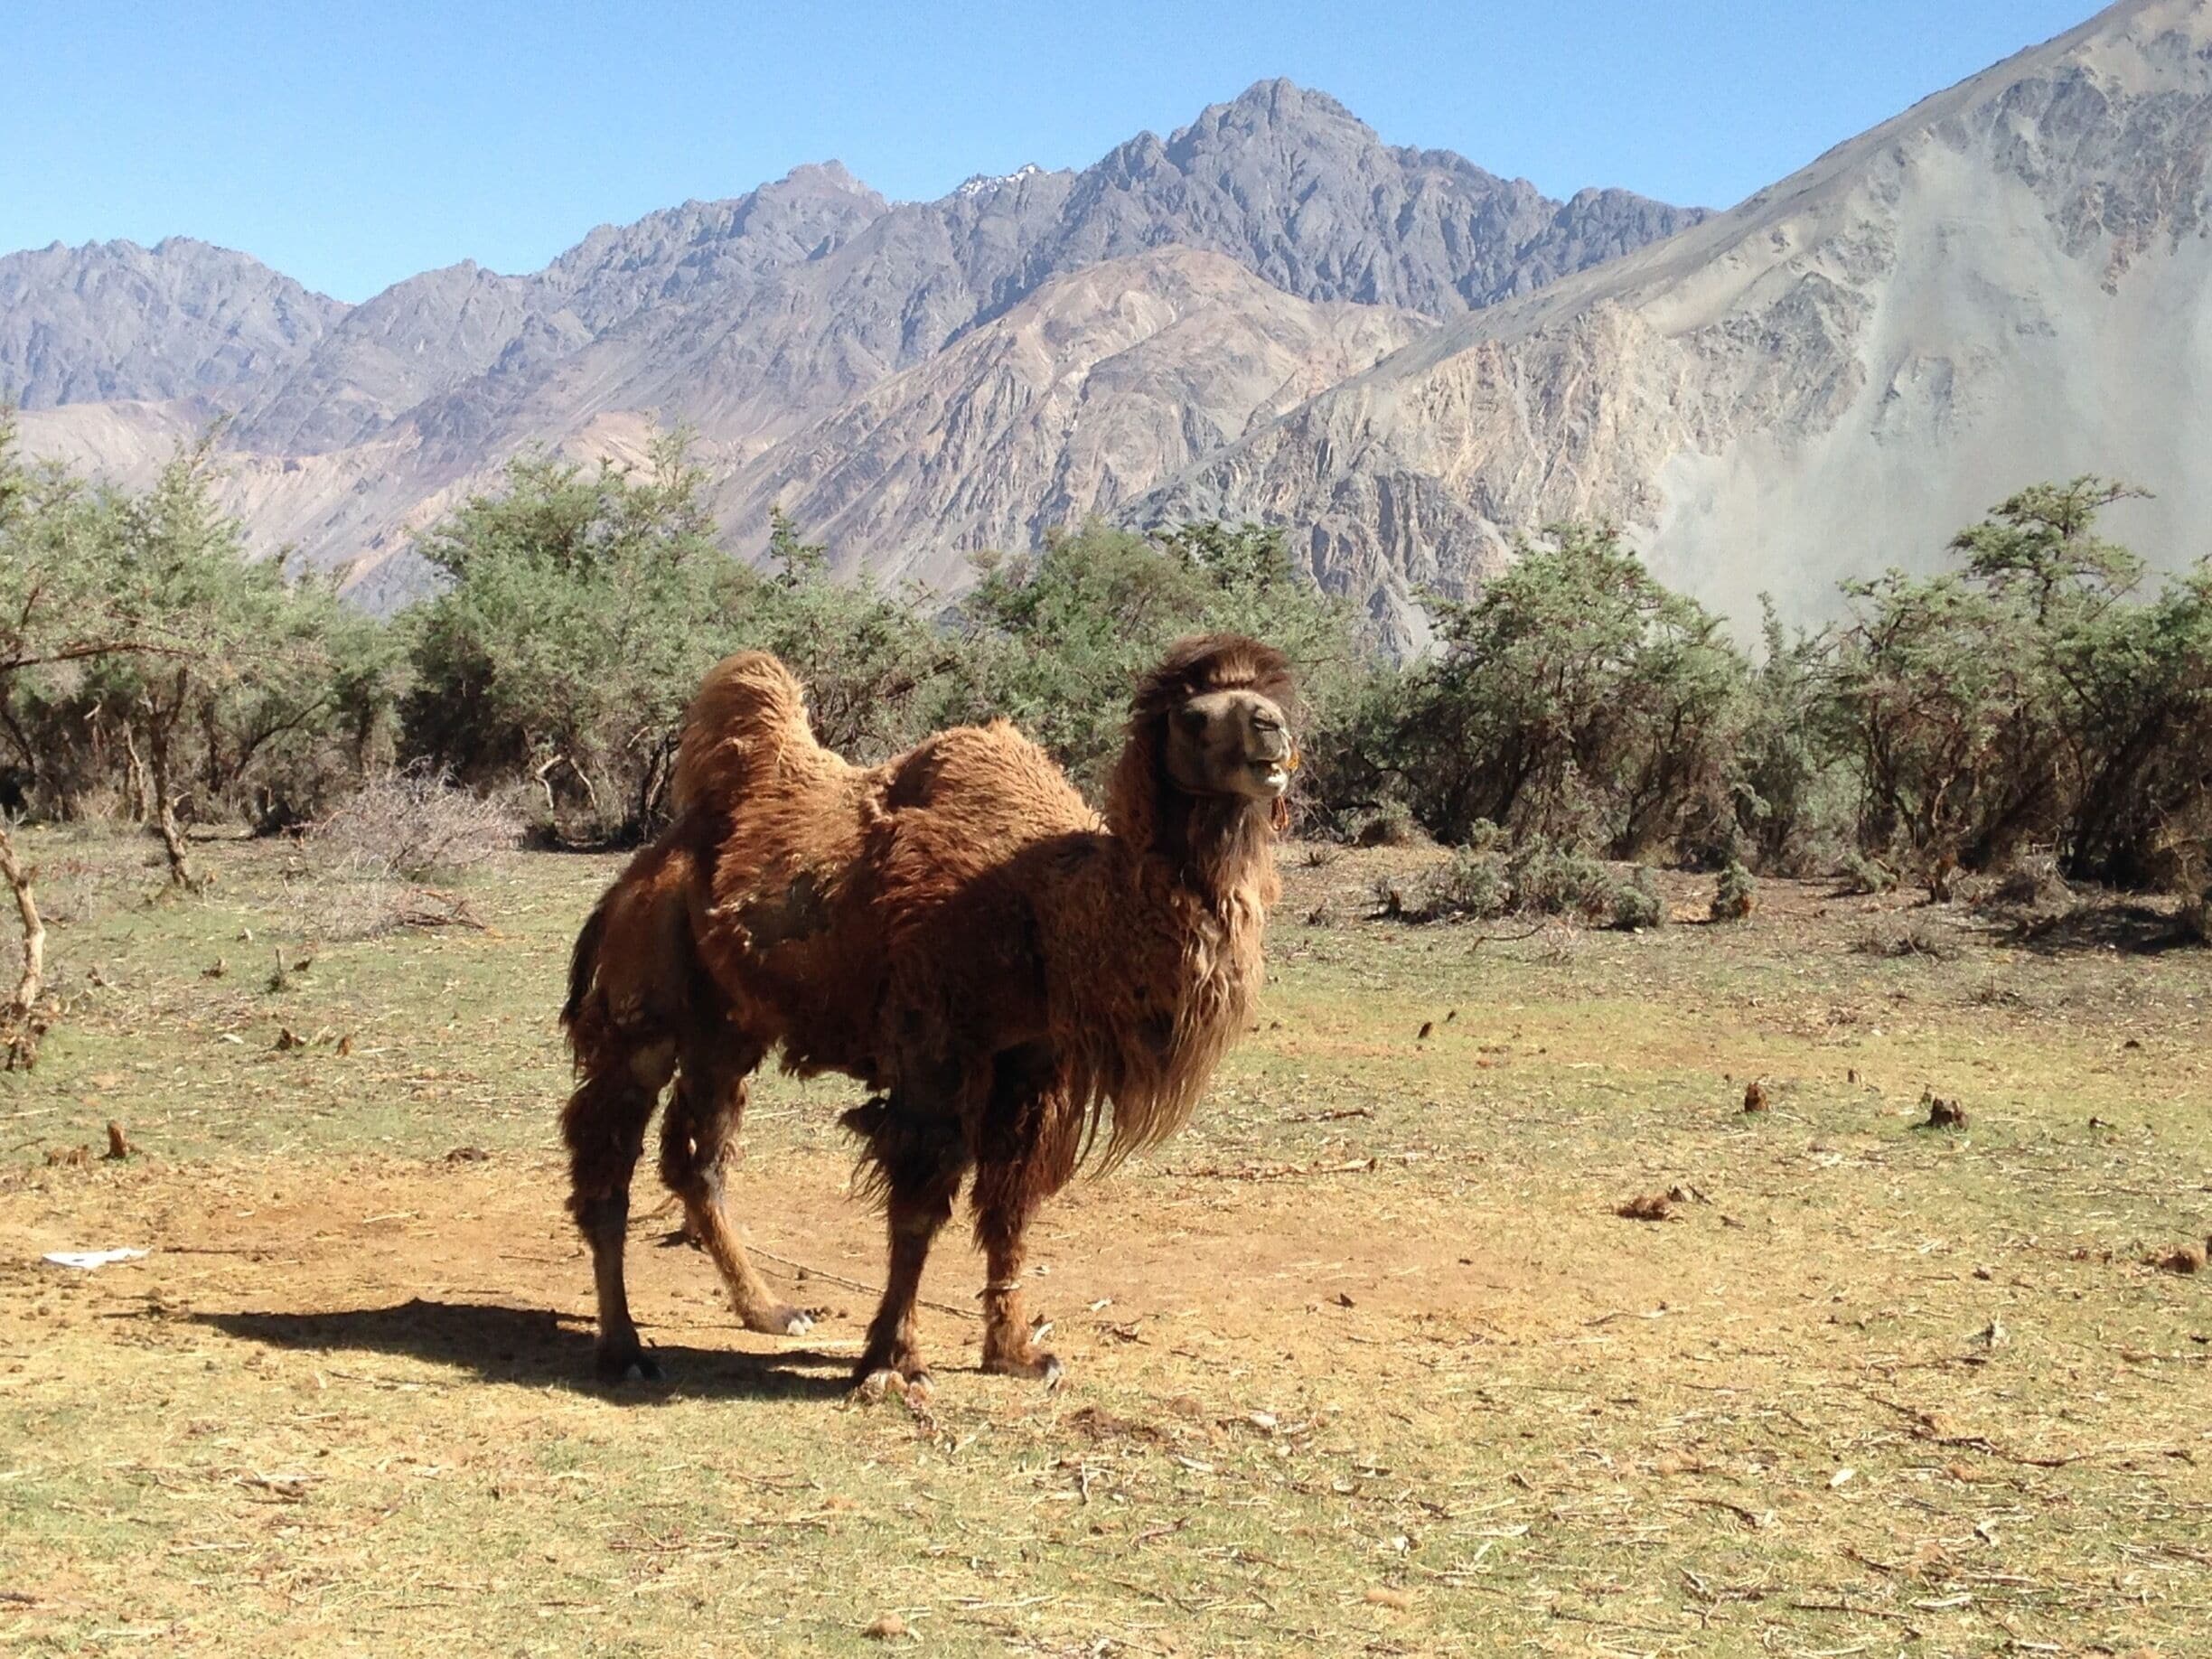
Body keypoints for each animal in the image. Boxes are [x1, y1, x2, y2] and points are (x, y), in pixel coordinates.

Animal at [559, 634, 1296, 1390]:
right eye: (1196, 718)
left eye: (1268, 700)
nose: (1272, 732)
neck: (1048, 907)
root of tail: (643, 868)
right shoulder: (935, 1047)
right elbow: (918, 1211)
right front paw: (893, 1360)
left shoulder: (1035, 1065)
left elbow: (1010, 1207)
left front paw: (1017, 1352)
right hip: (644, 1003)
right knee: (608, 1161)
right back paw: (624, 1349)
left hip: (729, 1030)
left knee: (697, 1160)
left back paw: (771, 1310)